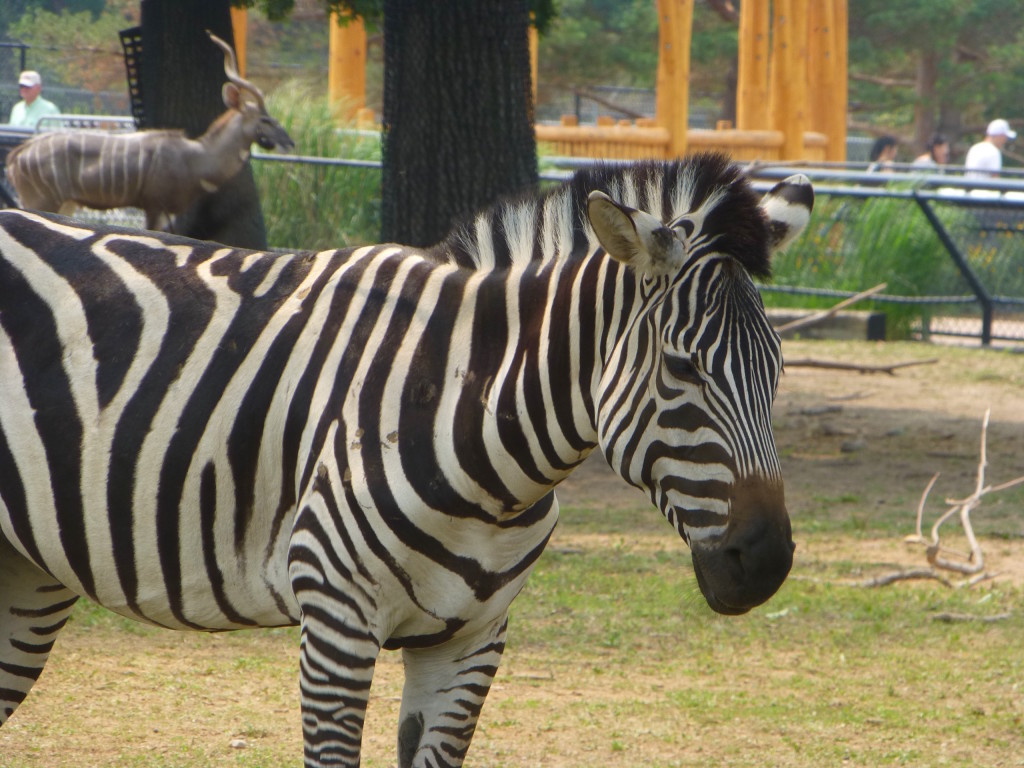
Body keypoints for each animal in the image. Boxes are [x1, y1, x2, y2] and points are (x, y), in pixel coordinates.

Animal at [0, 153, 811, 765]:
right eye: (682, 369)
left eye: (778, 368)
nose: (766, 563)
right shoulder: (336, 622)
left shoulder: (471, 641)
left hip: (29, 572)